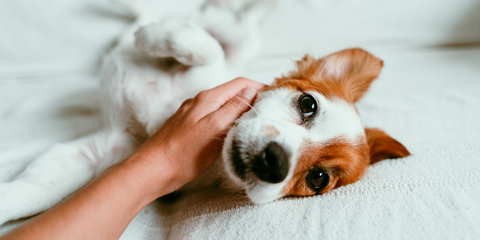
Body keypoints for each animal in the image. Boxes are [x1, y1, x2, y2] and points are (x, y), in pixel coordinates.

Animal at [0, 0, 410, 225]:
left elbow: (35, 192)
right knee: (208, 21)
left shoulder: (106, 151)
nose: (274, 163)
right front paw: (158, 39)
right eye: (307, 104)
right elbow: (204, 49)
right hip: (238, 37)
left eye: (318, 179)